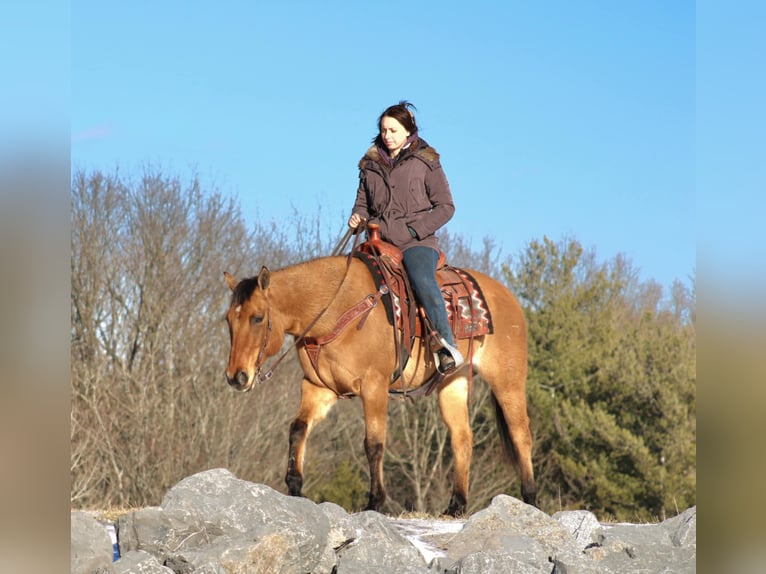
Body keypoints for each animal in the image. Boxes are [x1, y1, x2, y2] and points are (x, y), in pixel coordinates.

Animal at [225, 254, 536, 516]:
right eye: (228, 320)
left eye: (258, 318)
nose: (236, 377)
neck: (335, 308)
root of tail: (507, 297)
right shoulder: (318, 388)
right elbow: (298, 429)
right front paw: (294, 487)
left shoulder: (374, 387)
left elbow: (373, 443)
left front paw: (375, 501)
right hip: (453, 384)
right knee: (462, 438)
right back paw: (456, 506)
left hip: (508, 382)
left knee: (521, 435)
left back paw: (530, 498)